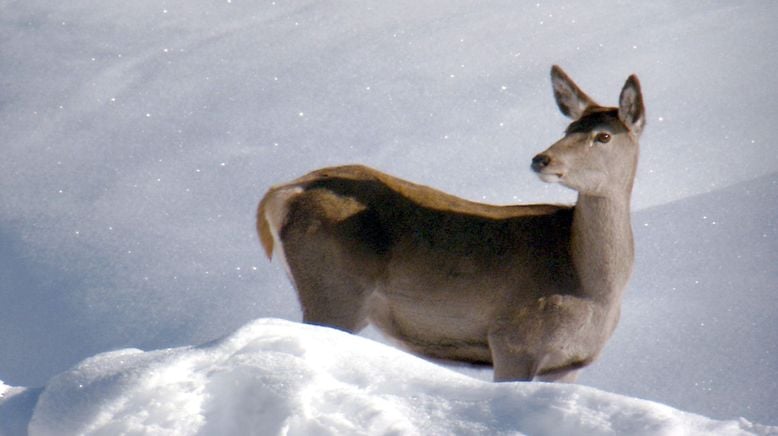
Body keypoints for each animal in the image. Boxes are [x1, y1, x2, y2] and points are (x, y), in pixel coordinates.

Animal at [256, 64, 644, 382]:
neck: (590, 286)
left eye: (603, 136)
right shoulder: (512, 340)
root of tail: (282, 193)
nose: (541, 159)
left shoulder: (569, 364)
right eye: (567, 128)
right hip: (334, 291)